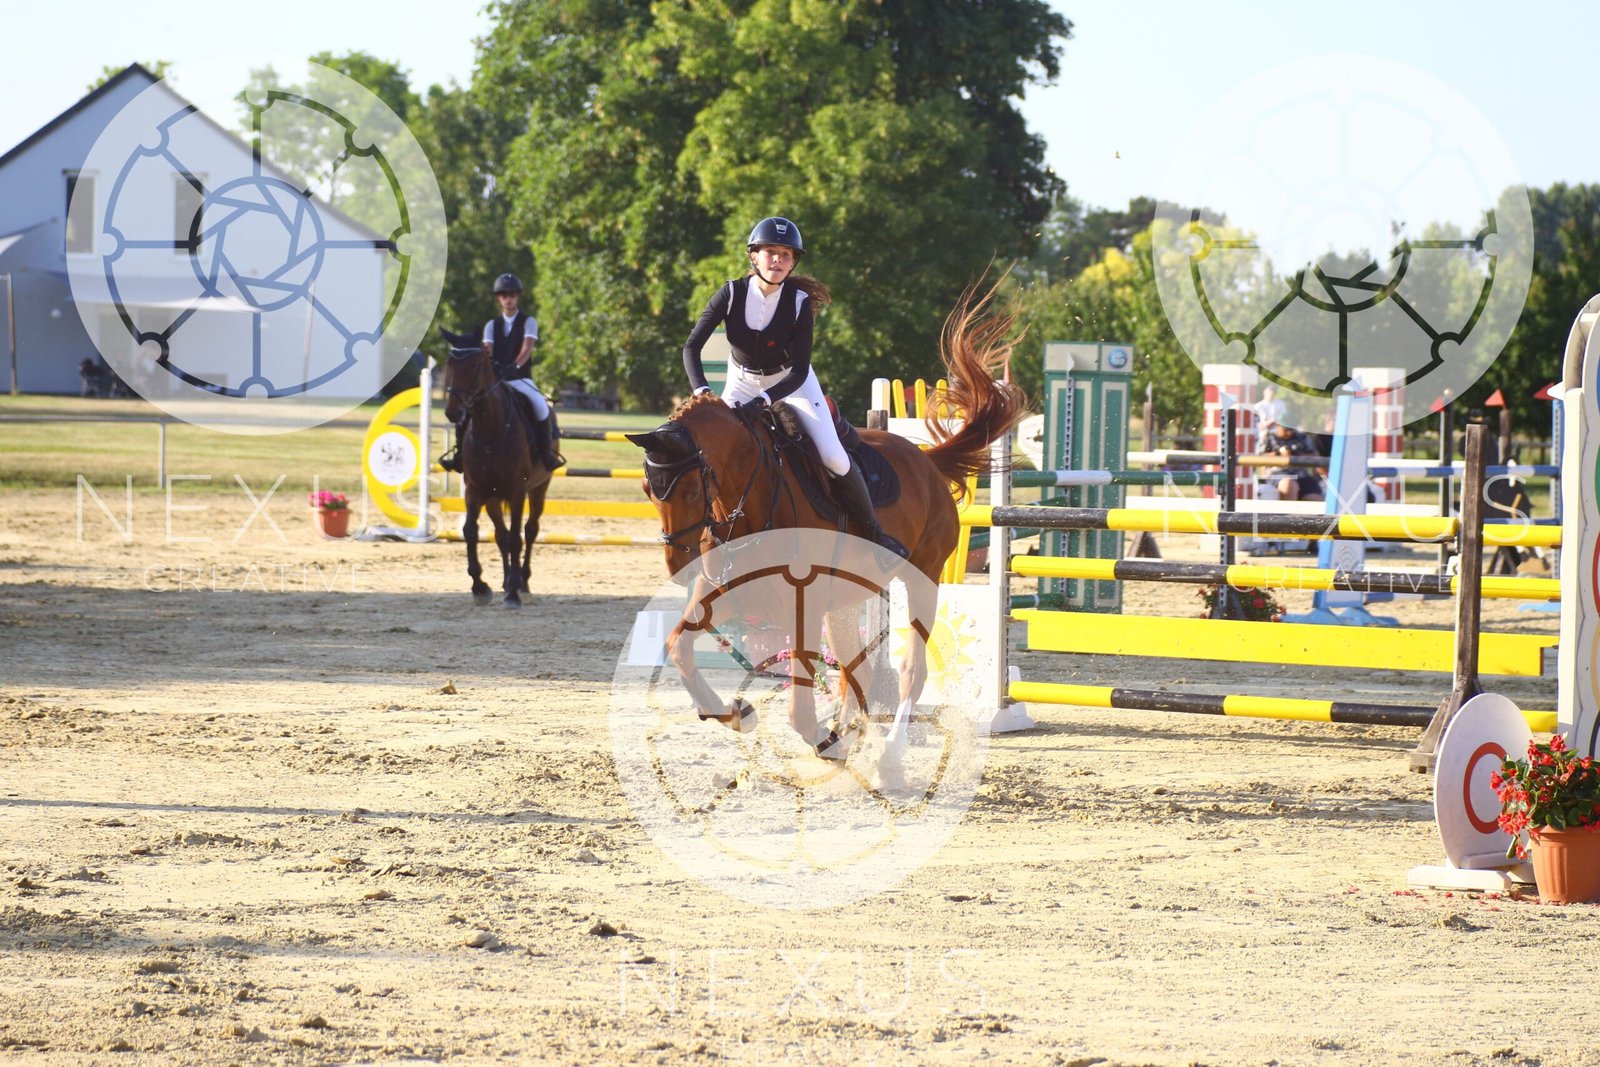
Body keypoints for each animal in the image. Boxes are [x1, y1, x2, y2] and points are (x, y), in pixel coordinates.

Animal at [440, 329, 554, 608]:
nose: (453, 412)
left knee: (529, 531)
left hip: (539, 489)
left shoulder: (517, 492)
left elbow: (516, 537)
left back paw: (521, 581)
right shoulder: (474, 490)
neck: (489, 429)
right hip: (492, 497)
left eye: (475, 365)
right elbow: (470, 531)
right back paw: (506, 580)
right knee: (501, 535)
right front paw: (480, 586)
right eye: (450, 363)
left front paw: (513, 592)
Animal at [625, 281, 1029, 768]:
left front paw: (819, 737)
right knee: (859, 669)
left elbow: (799, 707)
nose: (676, 566)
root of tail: (927, 460)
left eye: (688, 491)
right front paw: (736, 713)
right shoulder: (723, 590)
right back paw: (851, 731)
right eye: (649, 491)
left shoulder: (806, 603)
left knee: (911, 670)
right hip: (848, 598)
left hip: (924, 578)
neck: (749, 498)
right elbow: (678, 648)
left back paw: (888, 755)